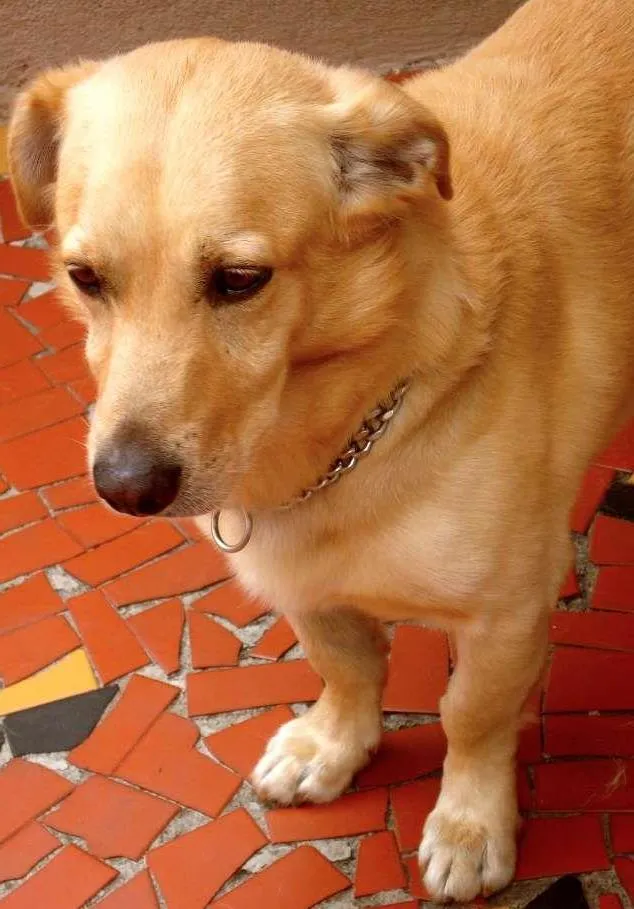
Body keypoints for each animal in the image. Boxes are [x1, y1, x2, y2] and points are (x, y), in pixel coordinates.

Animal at [8, 0, 634, 899]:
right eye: (85, 276)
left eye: (240, 279)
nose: (126, 486)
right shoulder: (303, 581)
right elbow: (345, 664)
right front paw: (334, 744)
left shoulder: (507, 609)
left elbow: (471, 717)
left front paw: (471, 822)